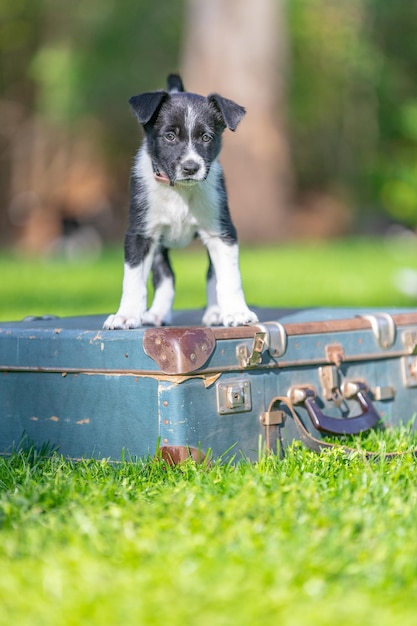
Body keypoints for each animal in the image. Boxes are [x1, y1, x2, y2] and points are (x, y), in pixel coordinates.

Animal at [103, 75, 256, 330]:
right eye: (170, 136)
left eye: (206, 138)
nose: (191, 167)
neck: (179, 192)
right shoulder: (140, 235)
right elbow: (133, 280)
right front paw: (126, 315)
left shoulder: (222, 233)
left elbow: (229, 277)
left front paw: (236, 312)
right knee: (166, 276)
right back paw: (157, 313)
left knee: (211, 274)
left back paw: (215, 312)